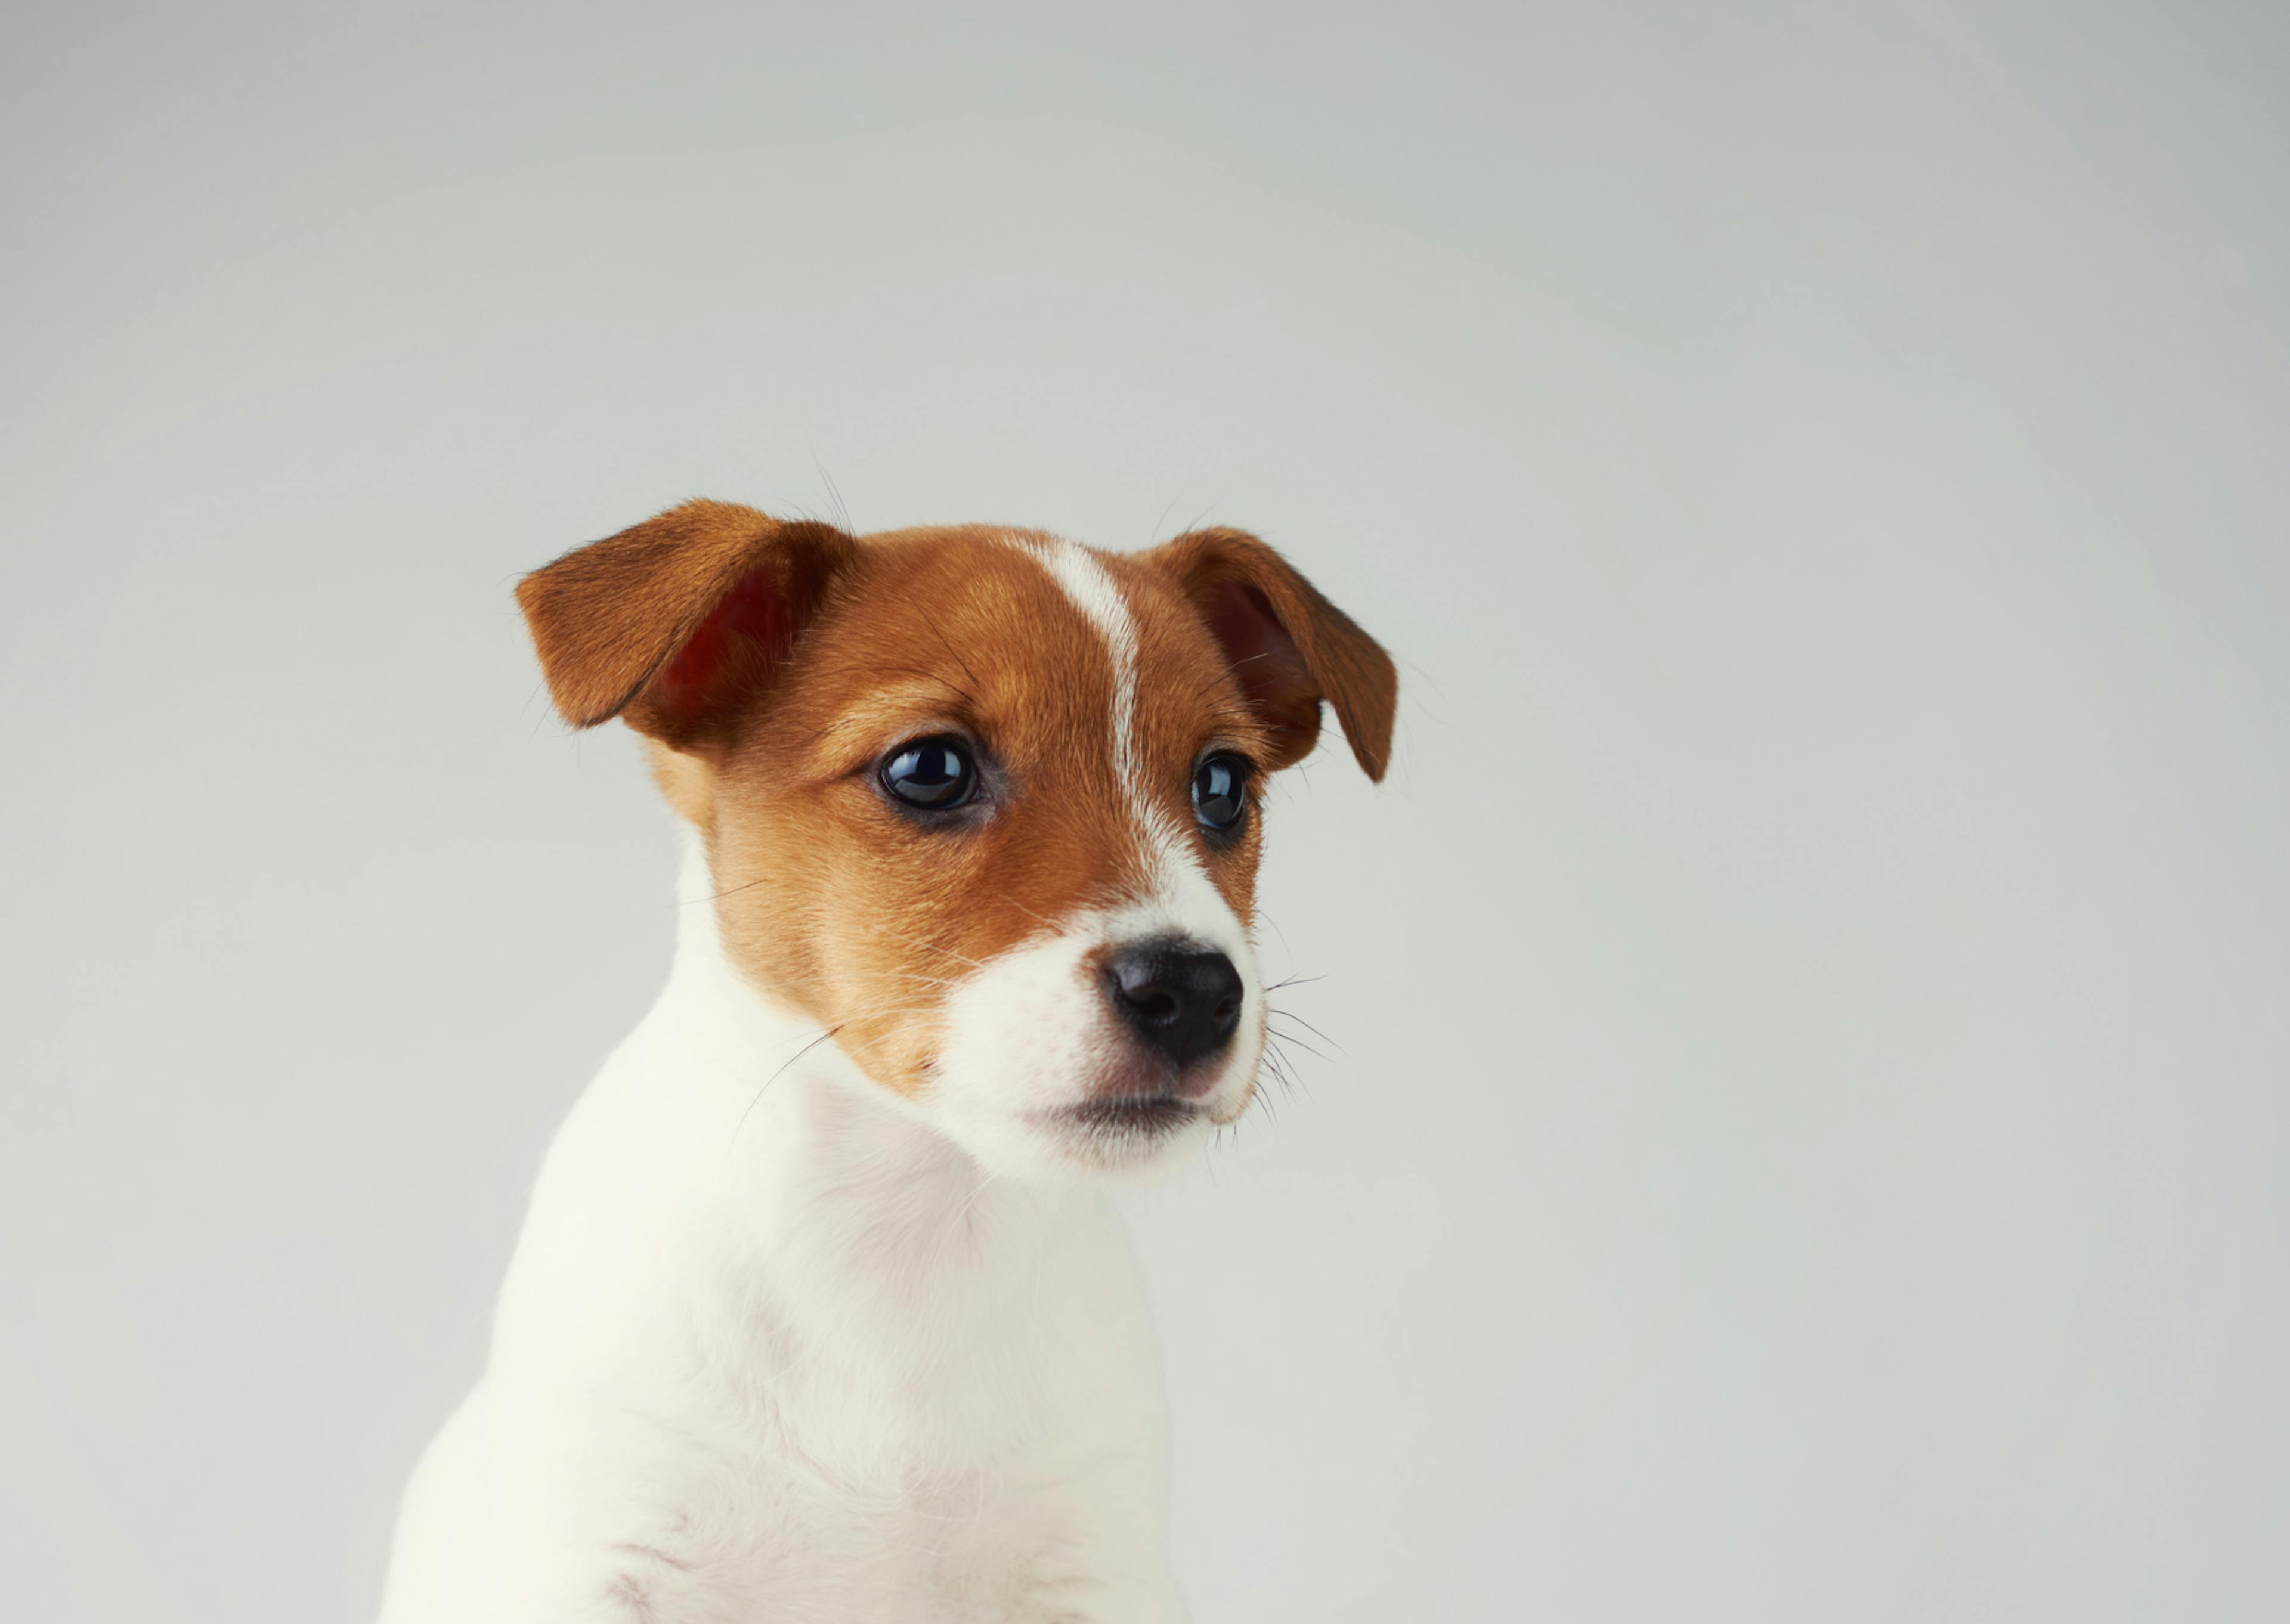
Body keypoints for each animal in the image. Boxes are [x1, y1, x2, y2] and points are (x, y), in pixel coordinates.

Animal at [375, 499, 1392, 1612]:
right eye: (930, 770)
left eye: (1222, 785)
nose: (1197, 994)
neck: (899, 1241)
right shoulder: (593, 1557)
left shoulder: (1095, 1565)